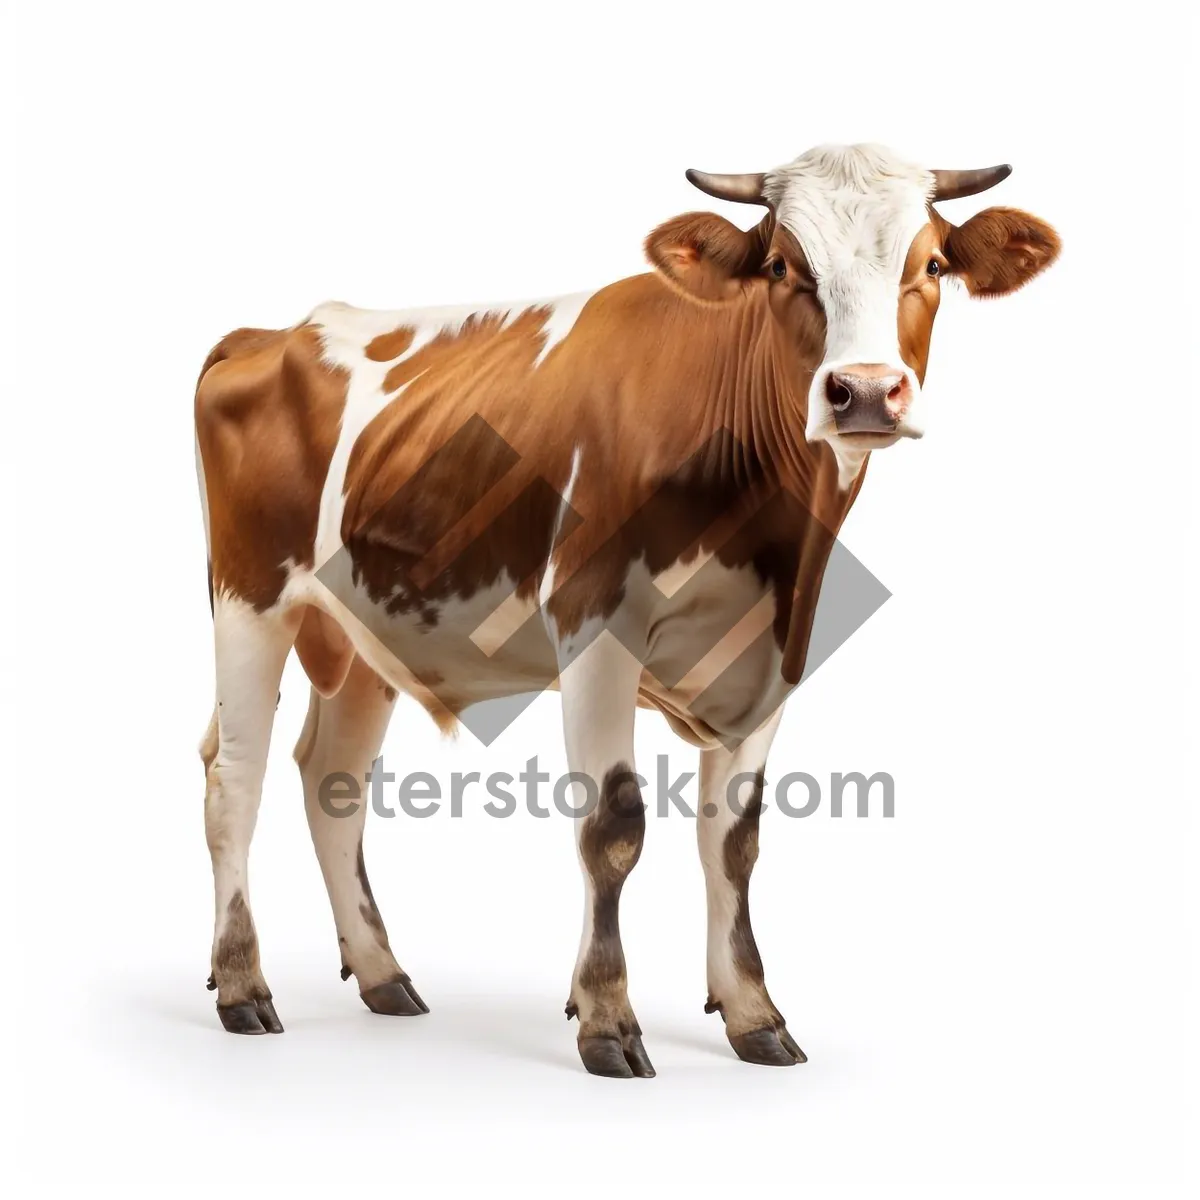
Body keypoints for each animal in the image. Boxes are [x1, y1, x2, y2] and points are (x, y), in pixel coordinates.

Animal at [194, 142, 1060, 1080]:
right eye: (781, 266)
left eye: (931, 265)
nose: (865, 392)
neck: (770, 537)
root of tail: (268, 334)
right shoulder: (593, 626)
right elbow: (612, 826)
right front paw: (607, 1018)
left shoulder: (775, 651)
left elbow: (735, 841)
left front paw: (753, 1013)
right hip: (249, 599)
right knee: (235, 779)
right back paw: (241, 985)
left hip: (370, 629)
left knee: (333, 779)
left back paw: (384, 972)